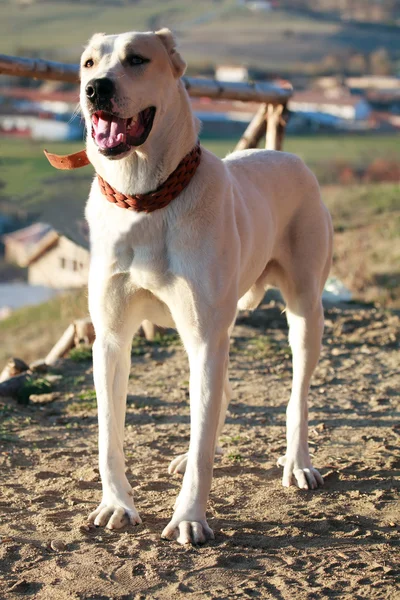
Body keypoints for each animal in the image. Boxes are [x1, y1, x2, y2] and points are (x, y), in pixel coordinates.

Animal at [76, 29, 332, 548]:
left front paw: (189, 516)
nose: (96, 89)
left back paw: (298, 462)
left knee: (296, 396)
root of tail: (288, 155)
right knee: (216, 400)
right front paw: (116, 504)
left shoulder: (205, 334)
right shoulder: (111, 340)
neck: (145, 200)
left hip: (303, 313)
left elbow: (203, 442)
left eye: (137, 59)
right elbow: (109, 434)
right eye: (89, 63)